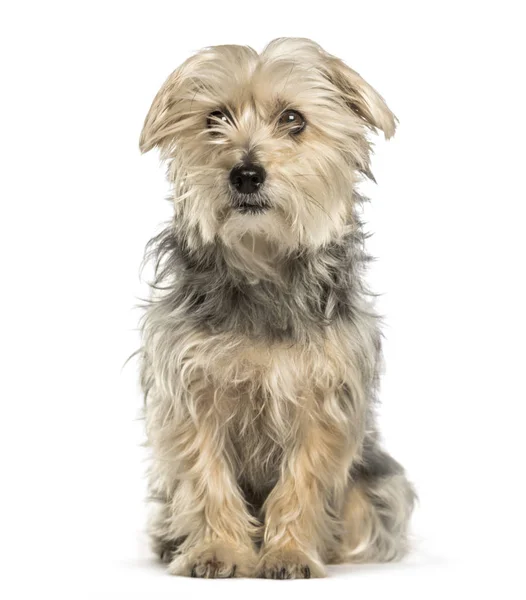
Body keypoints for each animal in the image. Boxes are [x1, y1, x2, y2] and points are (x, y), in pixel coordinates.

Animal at [139, 36, 416, 576]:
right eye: (214, 118)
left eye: (293, 119)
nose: (246, 173)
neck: (262, 265)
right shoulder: (191, 390)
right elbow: (206, 474)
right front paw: (217, 549)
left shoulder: (323, 398)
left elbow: (303, 480)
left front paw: (289, 553)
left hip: (380, 486)